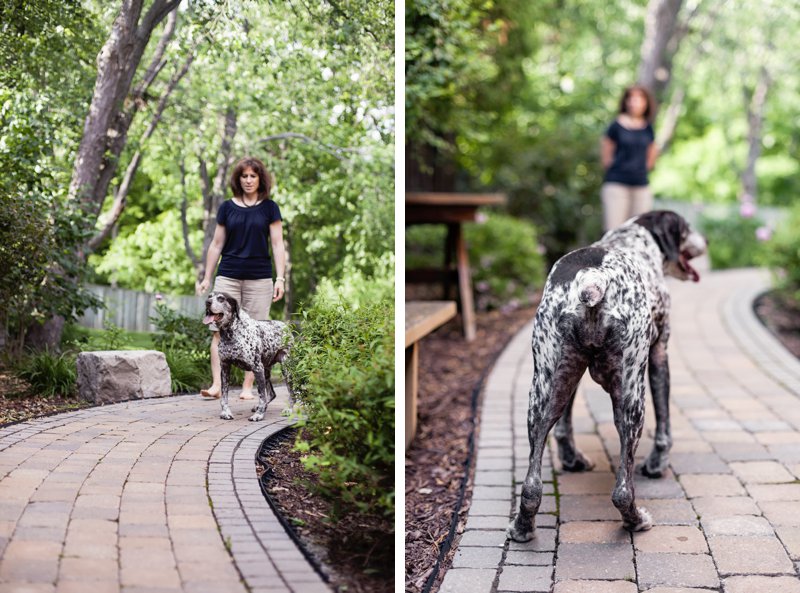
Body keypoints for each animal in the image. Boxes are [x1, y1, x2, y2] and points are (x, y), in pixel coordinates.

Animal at [203, 292, 294, 420]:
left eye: (221, 298)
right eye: (209, 296)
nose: (207, 302)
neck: (231, 333)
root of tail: (286, 326)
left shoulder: (257, 368)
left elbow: (261, 395)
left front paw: (259, 415)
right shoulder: (225, 368)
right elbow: (224, 396)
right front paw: (226, 412)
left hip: (286, 369)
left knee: (292, 392)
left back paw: (288, 409)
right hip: (266, 371)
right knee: (272, 394)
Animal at [506, 210, 708, 540]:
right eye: (687, 228)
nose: (707, 240)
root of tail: (594, 277)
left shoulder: (570, 374)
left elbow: (564, 426)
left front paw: (571, 459)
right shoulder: (659, 354)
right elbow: (664, 425)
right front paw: (657, 464)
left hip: (543, 391)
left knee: (531, 486)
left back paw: (523, 526)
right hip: (631, 399)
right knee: (622, 491)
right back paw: (635, 520)